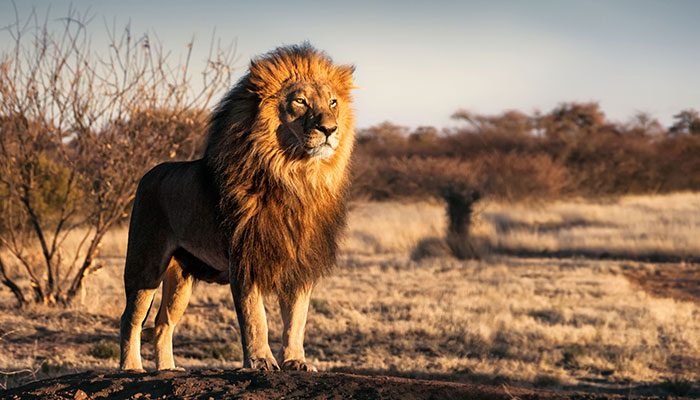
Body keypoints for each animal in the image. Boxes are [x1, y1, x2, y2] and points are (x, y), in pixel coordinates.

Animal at [119, 44, 355, 372]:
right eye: (300, 101)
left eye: (333, 102)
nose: (330, 129)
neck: (295, 177)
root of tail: (149, 173)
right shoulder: (245, 257)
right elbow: (256, 318)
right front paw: (261, 361)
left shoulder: (300, 262)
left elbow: (296, 319)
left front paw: (295, 361)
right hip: (146, 265)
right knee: (131, 318)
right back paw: (131, 367)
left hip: (181, 277)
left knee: (163, 323)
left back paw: (167, 369)